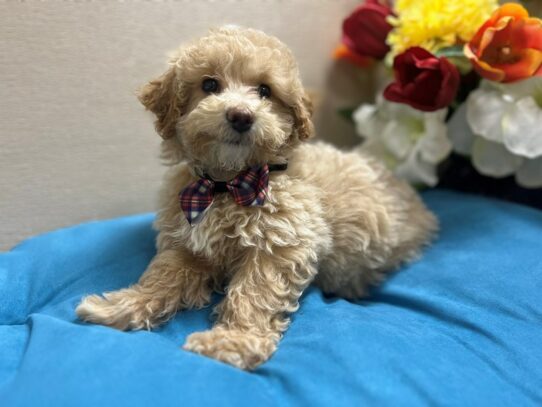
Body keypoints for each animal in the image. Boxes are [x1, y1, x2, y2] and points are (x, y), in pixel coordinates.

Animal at [76, 25, 438, 370]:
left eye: (265, 91)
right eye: (209, 84)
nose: (241, 115)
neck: (227, 185)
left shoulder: (283, 244)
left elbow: (254, 293)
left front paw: (231, 342)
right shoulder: (187, 245)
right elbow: (162, 275)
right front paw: (120, 306)